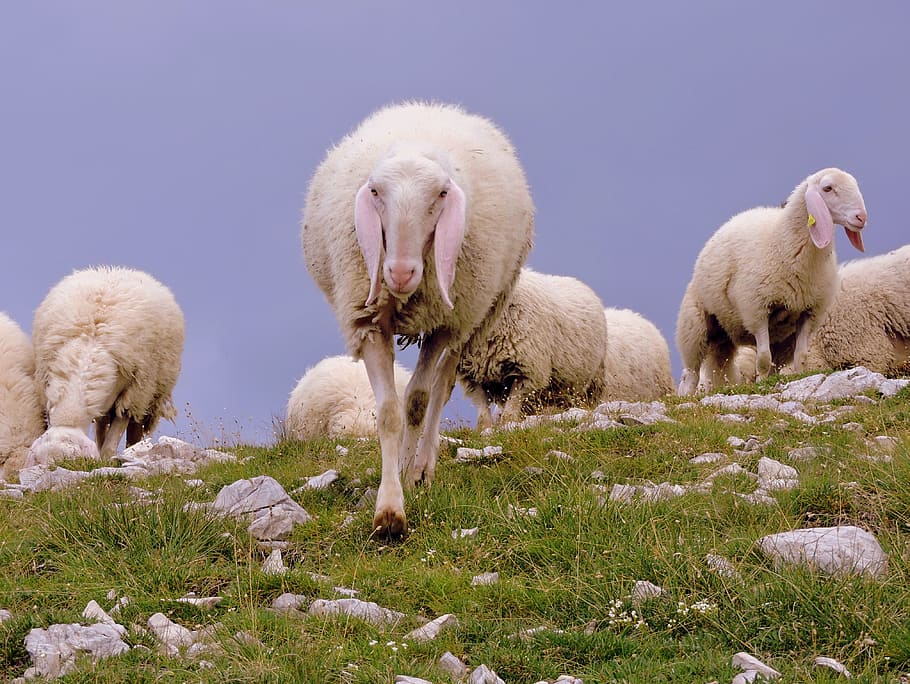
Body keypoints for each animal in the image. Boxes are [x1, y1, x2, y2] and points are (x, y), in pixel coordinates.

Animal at [28, 266, 185, 465]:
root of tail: (118, 269)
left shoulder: (131, 394)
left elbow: (112, 440)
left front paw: (109, 457)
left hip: (148, 392)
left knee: (135, 426)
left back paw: (133, 448)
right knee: (102, 423)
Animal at [301, 101, 534, 536]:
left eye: (441, 194)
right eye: (376, 192)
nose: (400, 272)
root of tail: (432, 107)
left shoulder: (443, 323)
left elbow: (417, 402)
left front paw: (407, 479)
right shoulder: (369, 321)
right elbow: (390, 414)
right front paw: (389, 509)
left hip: (472, 317)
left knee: (440, 390)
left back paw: (421, 466)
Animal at [456, 268, 607, 429]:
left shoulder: (526, 372)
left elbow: (511, 409)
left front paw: (508, 426)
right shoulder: (471, 377)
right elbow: (483, 413)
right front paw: (485, 430)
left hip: (588, 384)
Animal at [676, 168, 867, 395]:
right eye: (828, 188)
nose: (861, 217)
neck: (784, 243)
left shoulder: (809, 311)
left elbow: (801, 356)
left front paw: (797, 379)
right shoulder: (756, 311)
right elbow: (763, 358)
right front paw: (760, 384)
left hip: (755, 336)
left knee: (723, 365)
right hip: (694, 324)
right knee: (690, 373)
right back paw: (686, 394)